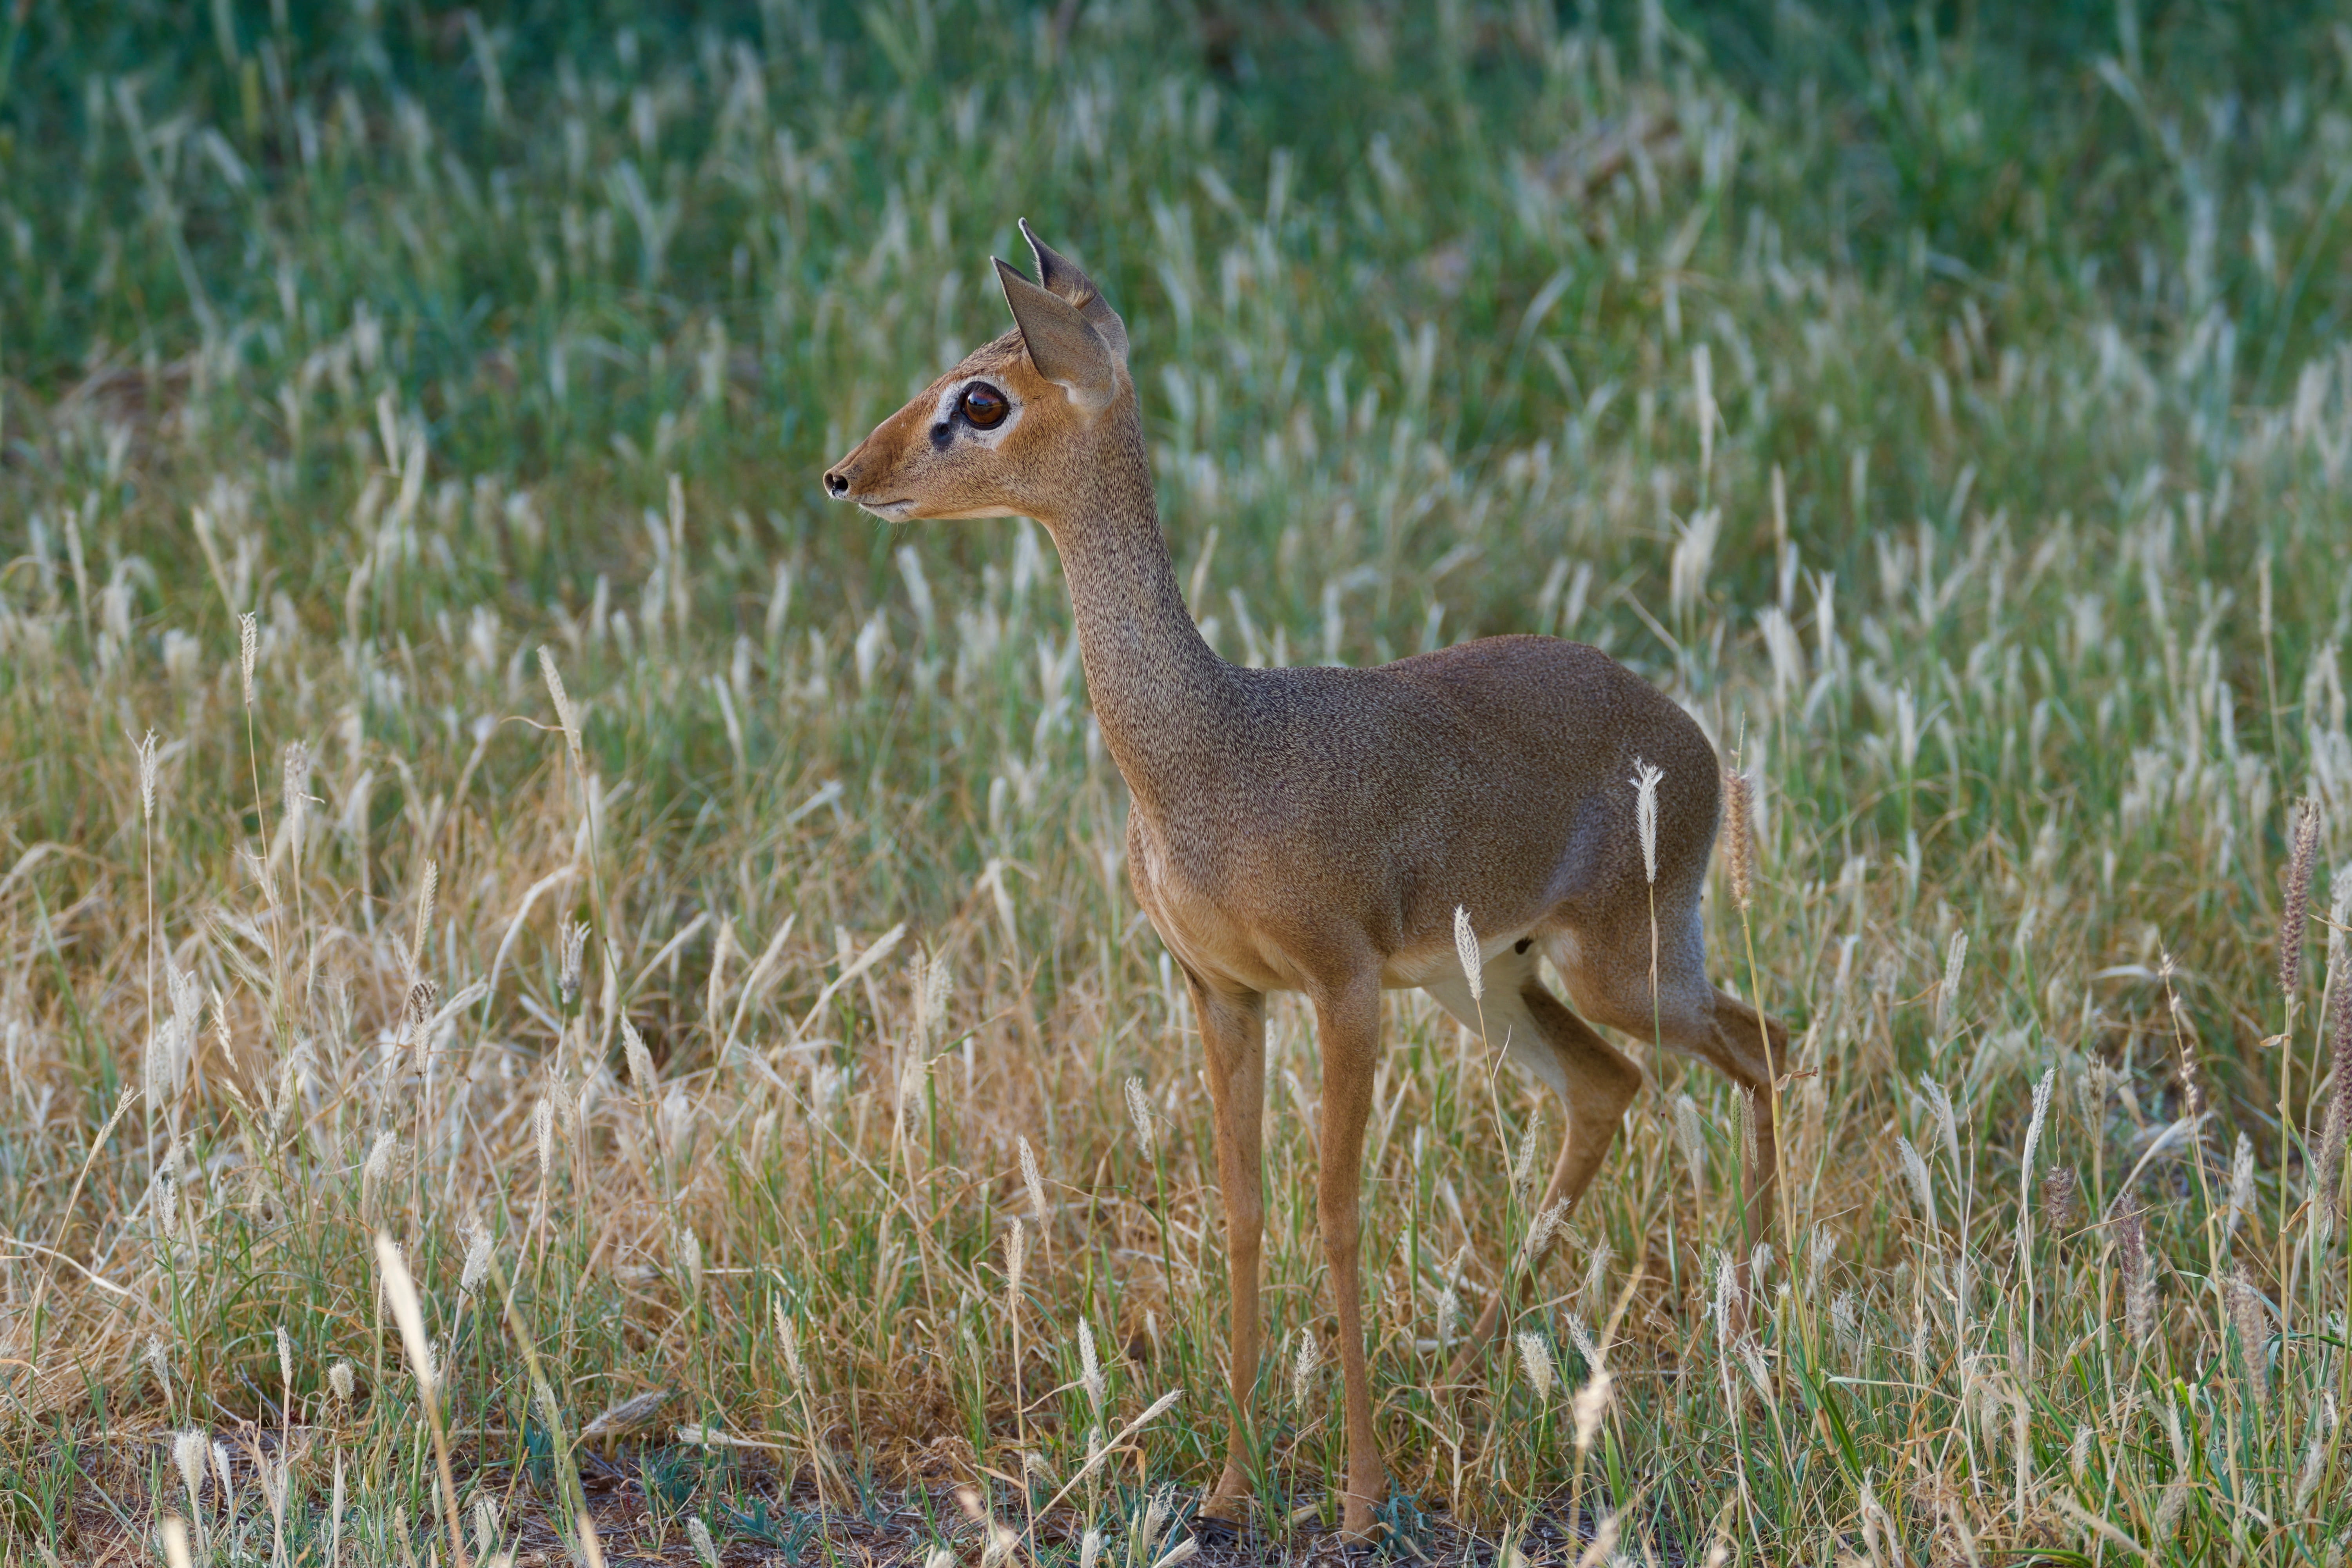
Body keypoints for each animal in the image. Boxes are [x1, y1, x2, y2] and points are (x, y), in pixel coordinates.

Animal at [824, 222, 1787, 1542]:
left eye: (981, 398)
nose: (845, 474)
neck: (1210, 755)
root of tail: (1692, 739)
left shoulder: (1344, 987)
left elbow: (1337, 1215)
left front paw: (1359, 1497)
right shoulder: (1221, 991)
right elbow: (1242, 1215)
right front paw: (1232, 1489)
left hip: (1622, 964)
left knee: (1762, 1044)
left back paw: (1752, 1331)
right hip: (1498, 984)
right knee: (1614, 1085)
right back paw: (1476, 1365)